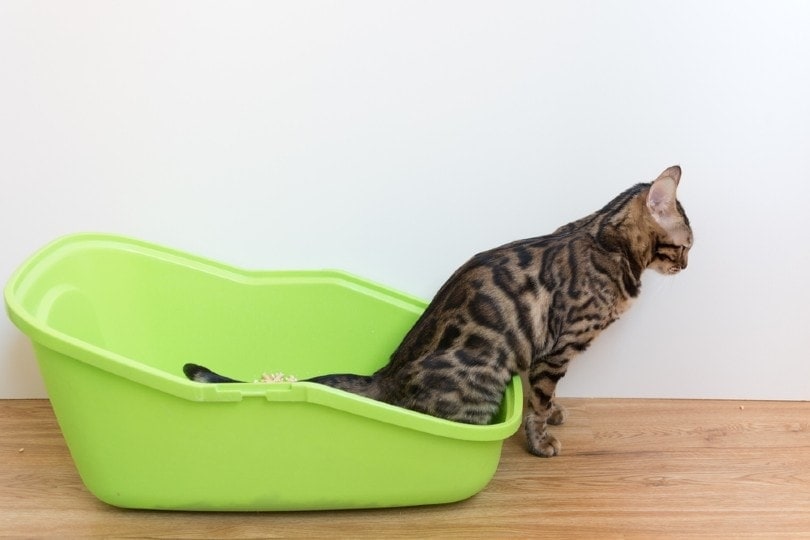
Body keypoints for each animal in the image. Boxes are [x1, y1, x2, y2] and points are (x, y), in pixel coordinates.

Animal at [186, 165, 692, 456]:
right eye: (686, 245)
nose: (688, 265)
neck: (606, 236)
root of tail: (385, 374)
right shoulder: (557, 349)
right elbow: (540, 398)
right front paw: (542, 437)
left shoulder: (544, 355)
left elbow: (539, 396)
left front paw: (554, 415)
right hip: (480, 384)